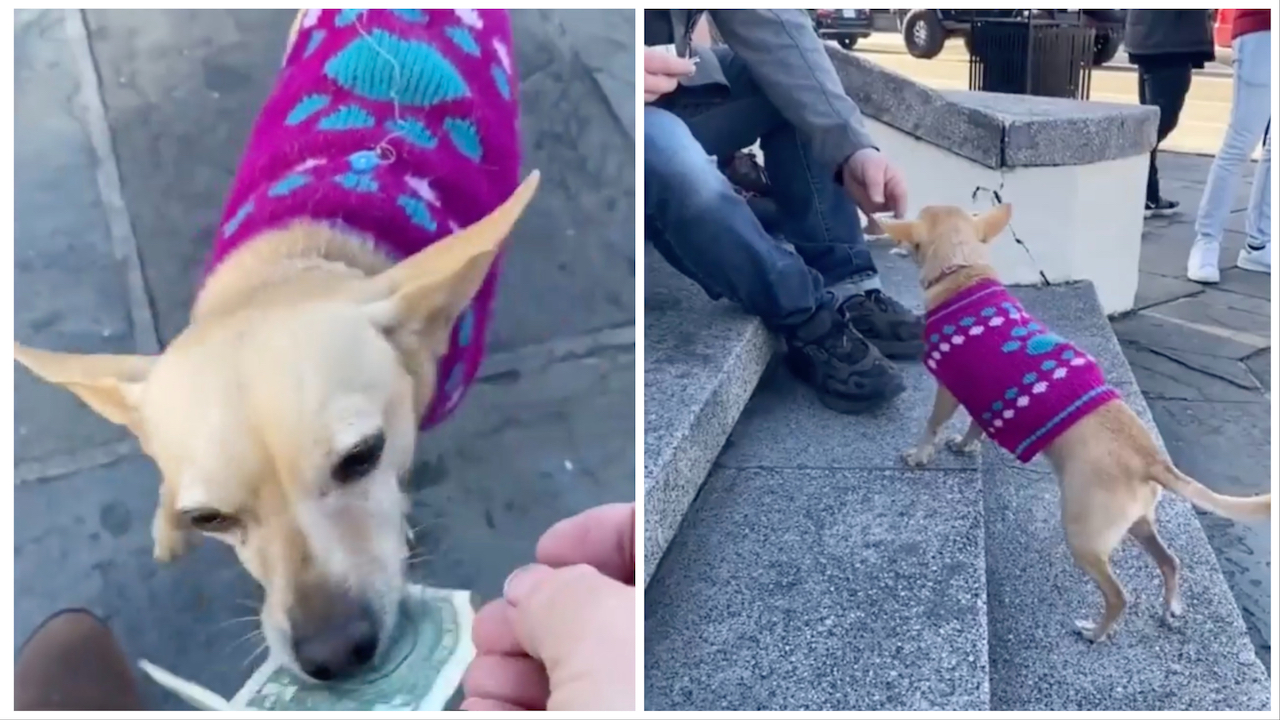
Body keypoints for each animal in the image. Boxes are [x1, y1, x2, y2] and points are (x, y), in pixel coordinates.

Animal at [880, 204, 1269, 640]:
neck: (963, 270)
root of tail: (1151, 459)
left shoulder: (948, 389)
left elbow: (933, 424)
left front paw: (920, 455)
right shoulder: (984, 397)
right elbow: (976, 425)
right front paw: (966, 445)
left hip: (1083, 536)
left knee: (1119, 595)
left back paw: (1095, 632)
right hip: (1137, 524)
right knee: (1169, 561)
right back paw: (1169, 608)